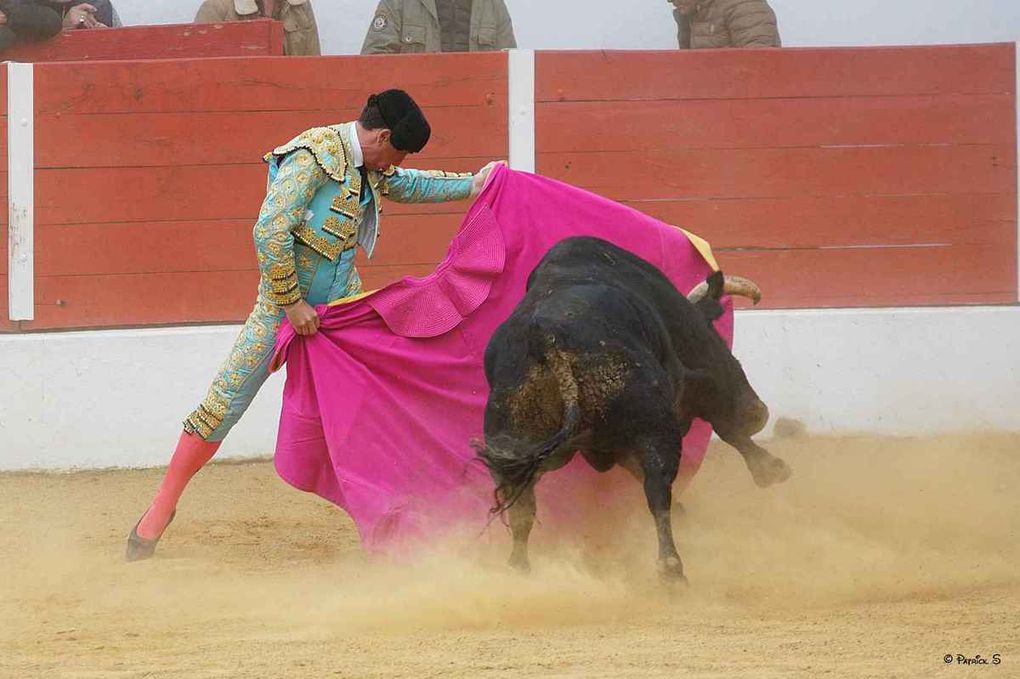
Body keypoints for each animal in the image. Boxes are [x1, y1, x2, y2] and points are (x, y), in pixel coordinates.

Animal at [473, 235, 791, 579]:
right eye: (715, 335)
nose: (757, 414)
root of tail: (546, 340)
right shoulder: (693, 386)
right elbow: (726, 427)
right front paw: (771, 469)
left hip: (517, 444)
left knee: (521, 507)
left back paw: (518, 568)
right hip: (653, 425)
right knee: (658, 490)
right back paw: (671, 569)